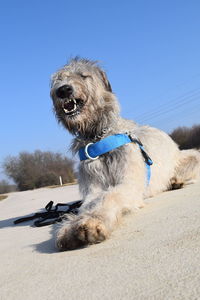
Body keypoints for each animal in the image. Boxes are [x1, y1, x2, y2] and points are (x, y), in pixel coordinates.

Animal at [50, 57, 200, 250]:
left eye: (83, 75)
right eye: (58, 79)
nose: (63, 90)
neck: (97, 137)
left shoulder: (129, 182)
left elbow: (110, 196)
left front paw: (91, 223)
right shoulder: (92, 187)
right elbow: (89, 203)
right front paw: (73, 227)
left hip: (190, 157)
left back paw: (175, 180)